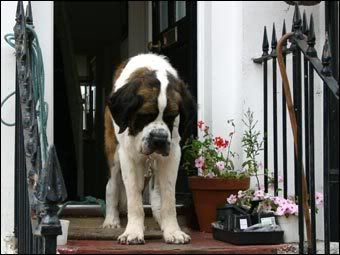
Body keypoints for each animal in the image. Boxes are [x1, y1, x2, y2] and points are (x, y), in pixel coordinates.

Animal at [103, 53, 194, 245]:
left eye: (171, 117)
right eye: (145, 116)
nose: (159, 139)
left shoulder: (172, 154)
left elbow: (168, 197)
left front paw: (172, 230)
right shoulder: (128, 156)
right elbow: (134, 198)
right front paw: (132, 232)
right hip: (114, 152)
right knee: (112, 184)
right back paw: (111, 220)